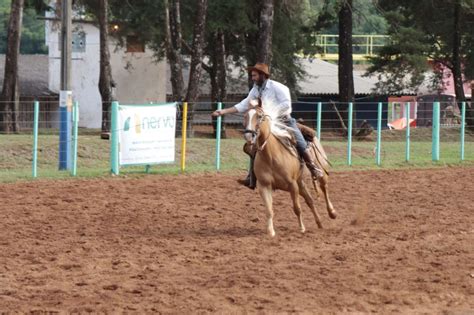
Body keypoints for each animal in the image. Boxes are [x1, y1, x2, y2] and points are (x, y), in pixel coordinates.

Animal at [244, 103, 336, 237]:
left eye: (260, 116)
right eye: (245, 116)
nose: (249, 136)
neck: (271, 155)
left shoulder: (292, 185)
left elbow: (297, 208)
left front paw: (302, 228)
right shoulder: (264, 186)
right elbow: (269, 210)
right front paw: (270, 231)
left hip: (320, 172)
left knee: (324, 188)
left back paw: (332, 212)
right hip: (300, 182)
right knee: (310, 200)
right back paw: (319, 223)